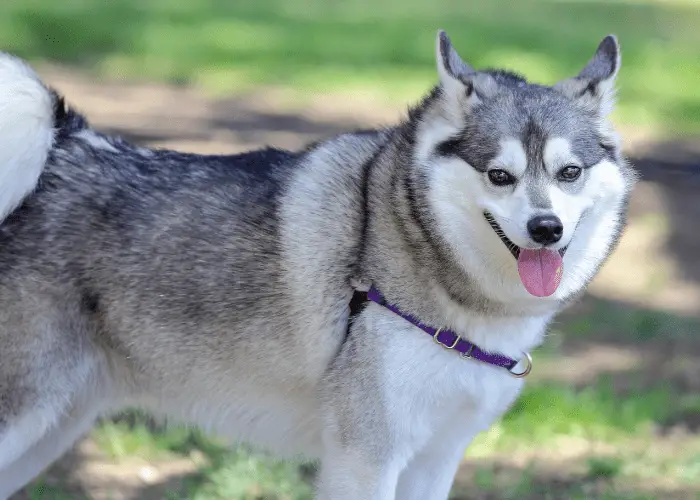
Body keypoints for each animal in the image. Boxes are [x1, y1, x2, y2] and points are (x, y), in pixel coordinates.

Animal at [0, 31, 636, 500]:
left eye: (569, 173)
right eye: (499, 175)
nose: (546, 229)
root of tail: (63, 147)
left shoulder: (435, 459)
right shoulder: (365, 459)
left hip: (53, 426)